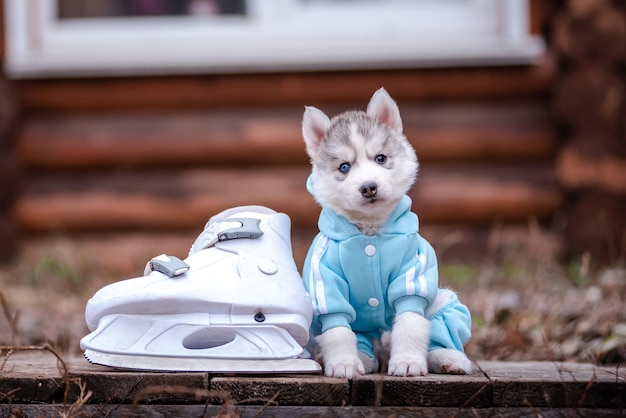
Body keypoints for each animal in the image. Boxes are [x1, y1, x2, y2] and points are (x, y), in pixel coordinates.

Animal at [300, 88, 470, 378]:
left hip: (442, 299)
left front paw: (407, 361)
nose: (369, 187)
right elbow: (338, 330)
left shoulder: (413, 275)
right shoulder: (325, 280)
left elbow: (411, 323)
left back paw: (448, 357)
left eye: (380, 158)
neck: (370, 232)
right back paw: (362, 357)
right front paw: (344, 363)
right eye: (344, 167)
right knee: (358, 335)